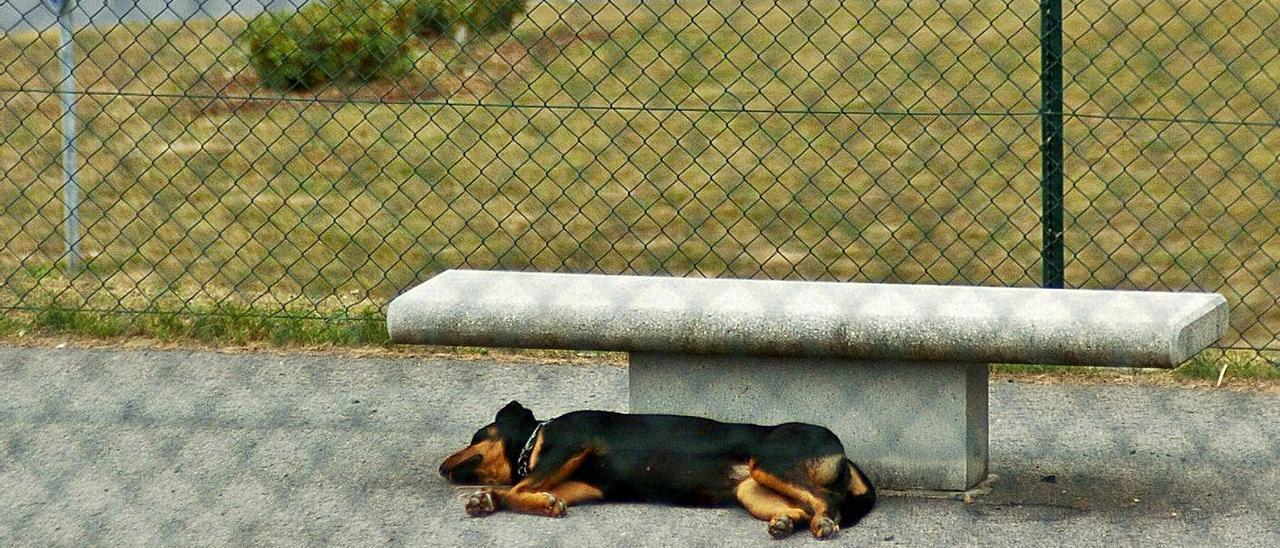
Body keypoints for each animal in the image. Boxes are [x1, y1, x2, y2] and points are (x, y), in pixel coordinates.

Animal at [437, 399, 870, 537]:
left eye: (476, 436)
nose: (441, 467)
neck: (535, 439)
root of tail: (843, 451)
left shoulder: (572, 444)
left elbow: (516, 488)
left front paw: (495, 498)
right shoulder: (580, 486)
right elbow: (517, 492)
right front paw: (490, 500)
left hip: (769, 463)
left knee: (826, 501)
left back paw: (823, 523)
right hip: (752, 489)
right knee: (802, 507)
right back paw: (785, 523)